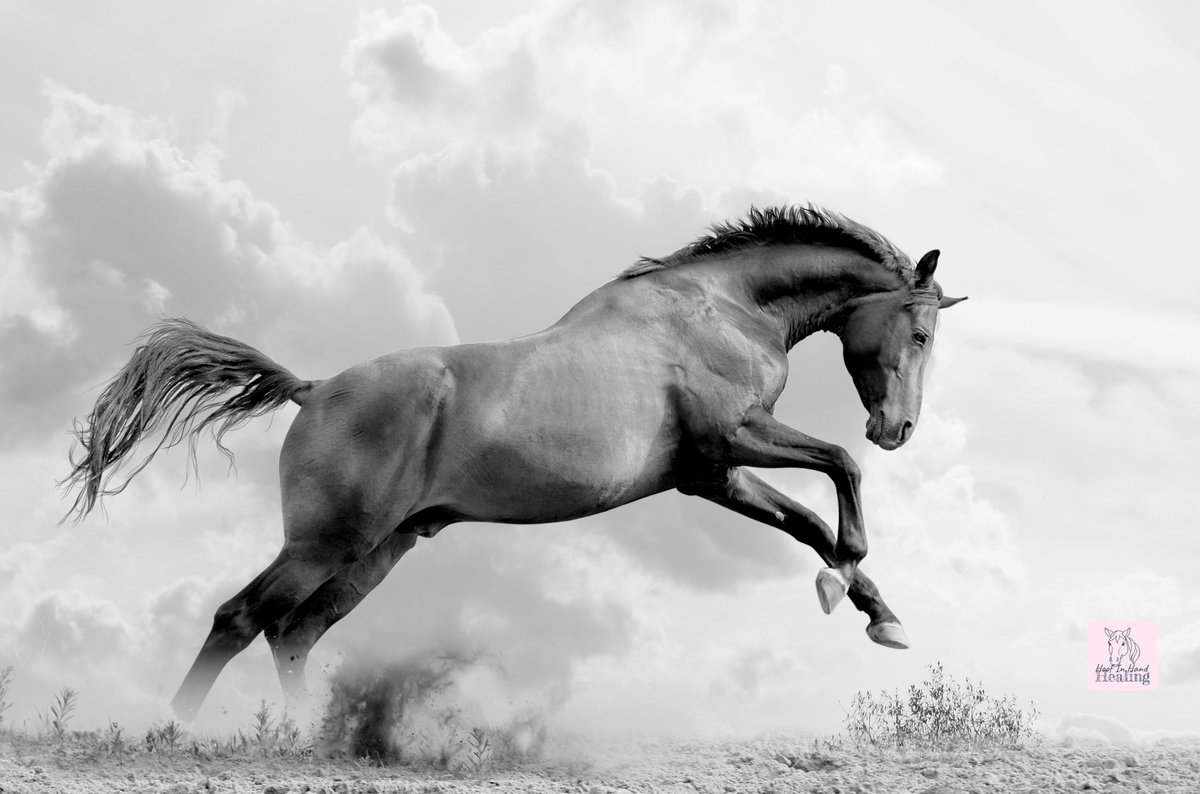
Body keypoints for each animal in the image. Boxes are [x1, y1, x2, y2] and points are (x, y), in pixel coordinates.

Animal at [63, 204, 966, 720]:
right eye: (920, 333)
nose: (898, 427)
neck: (725, 308)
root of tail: (313, 390)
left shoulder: (709, 474)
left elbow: (812, 518)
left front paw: (876, 612)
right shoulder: (731, 442)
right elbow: (840, 474)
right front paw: (849, 585)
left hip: (380, 550)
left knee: (295, 632)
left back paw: (307, 742)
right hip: (326, 543)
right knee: (240, 619)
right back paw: (175, 729)